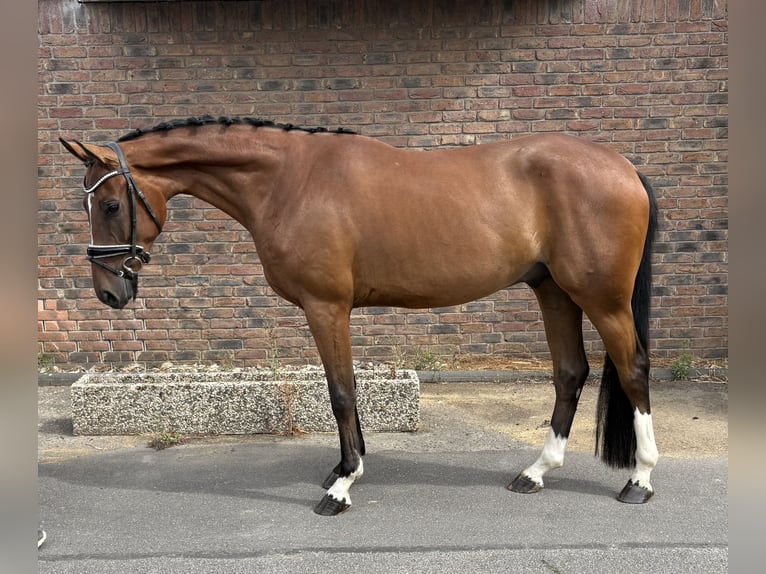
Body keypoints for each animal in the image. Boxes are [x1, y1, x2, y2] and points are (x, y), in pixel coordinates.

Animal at [60, 115, 659, 516]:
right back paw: (536, 472)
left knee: (633, 370)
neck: (289, 180)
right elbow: (343, 390)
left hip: (601, 298)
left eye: (109, 204)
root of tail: (624, 166)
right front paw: (345, 467)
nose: (109, 292)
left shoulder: (326, 307)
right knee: (570, 373)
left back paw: (640, 480)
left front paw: (342, 485)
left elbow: (341, 391)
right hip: (553, 290)